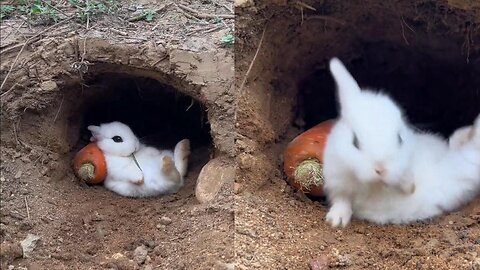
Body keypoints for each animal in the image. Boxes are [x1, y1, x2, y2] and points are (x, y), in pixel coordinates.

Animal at [320, 58, 480, 227]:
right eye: (355, 142)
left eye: (399, 138)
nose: (381, 169)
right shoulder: (338, 181)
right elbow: (342, 200)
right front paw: (336, 221)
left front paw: (409, 186)